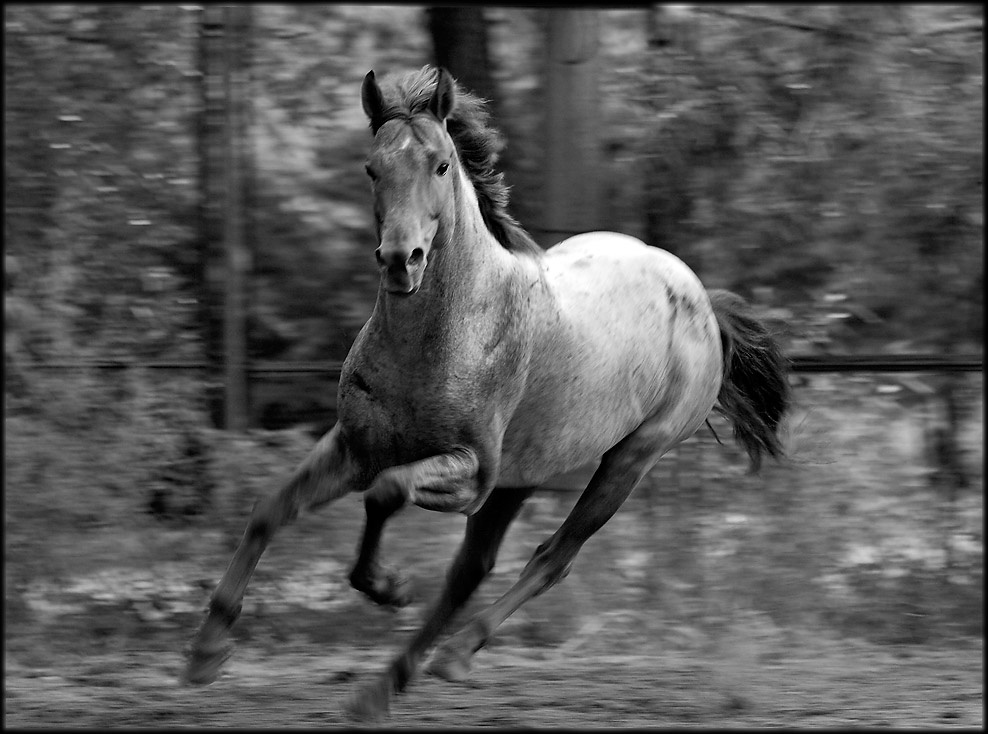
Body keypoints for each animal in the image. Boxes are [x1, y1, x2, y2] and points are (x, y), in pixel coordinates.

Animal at [185, 65, 790, 720]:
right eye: (371, 167)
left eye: (441, 164)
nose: (401, 261)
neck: (438, 341)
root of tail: (701, 298)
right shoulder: (357, 445)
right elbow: (271, 510)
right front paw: (206, 654)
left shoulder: (470, 473)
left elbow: (385, 492)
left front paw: (388, 587)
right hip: (525, 470)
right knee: (475, 567)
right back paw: (397, 679)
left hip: (627, 459)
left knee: (549, 558)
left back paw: (427, 668)